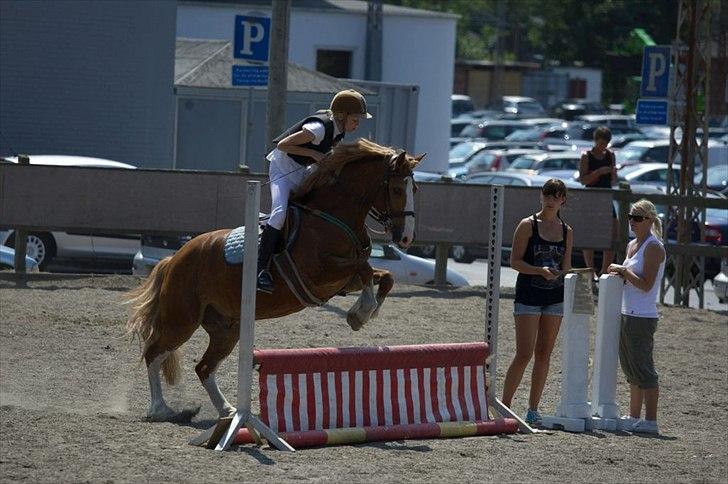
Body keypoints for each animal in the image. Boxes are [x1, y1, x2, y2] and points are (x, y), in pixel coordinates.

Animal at [123, 138, 420, 422]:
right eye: (397, 190)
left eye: (415, 190)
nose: (406, 238)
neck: (334, 216)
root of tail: (173, 259)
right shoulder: (319, 274)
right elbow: (365, 268)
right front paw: (361, 312)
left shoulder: (341, 283)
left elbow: (384, 276)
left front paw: (364, 313)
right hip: (182, 320)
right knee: (154, 353)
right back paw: (160, 409)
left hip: (226, 328)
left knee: (203, 367)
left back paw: (227, 410)